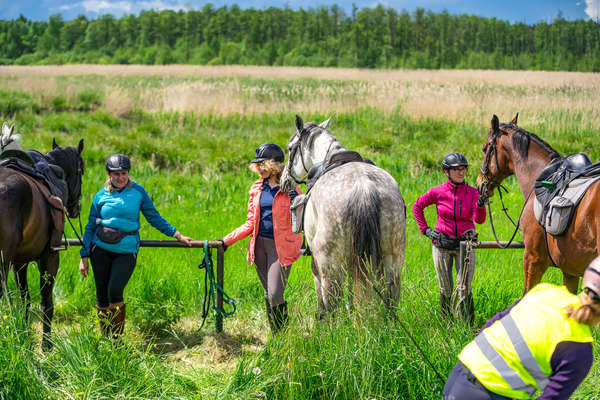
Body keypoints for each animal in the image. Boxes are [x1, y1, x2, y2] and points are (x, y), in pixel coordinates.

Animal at [0, 139, 85, 348]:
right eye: (82, 170)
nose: (76, 208)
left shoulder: (19, 263)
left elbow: (25, 300)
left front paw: (25, 336)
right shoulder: (50, 258)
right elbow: (47, 303)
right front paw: (46, 345)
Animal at [282, 115, 408, 316]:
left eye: (289, 148)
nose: (283, 180)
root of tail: (364, 188)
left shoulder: (317, 262)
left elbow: (321, 297)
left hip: (330, 266)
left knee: (332, 302)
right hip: (393, 260)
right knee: (391, 297)